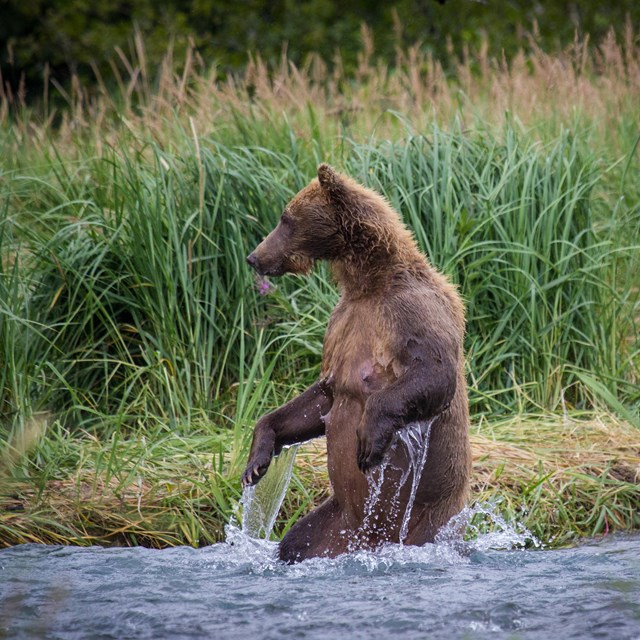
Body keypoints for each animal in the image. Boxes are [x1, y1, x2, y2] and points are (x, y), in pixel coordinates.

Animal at [242, 164, 472, 560]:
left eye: (286, 218)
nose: (254, 257)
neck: (367, 281)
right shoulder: (342, 325)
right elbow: (321, 397)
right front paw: (257, 458)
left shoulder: (408, 312)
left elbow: (433, 372)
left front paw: (368, 439)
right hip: (335, 522)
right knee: (298, 539)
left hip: (428, 519)